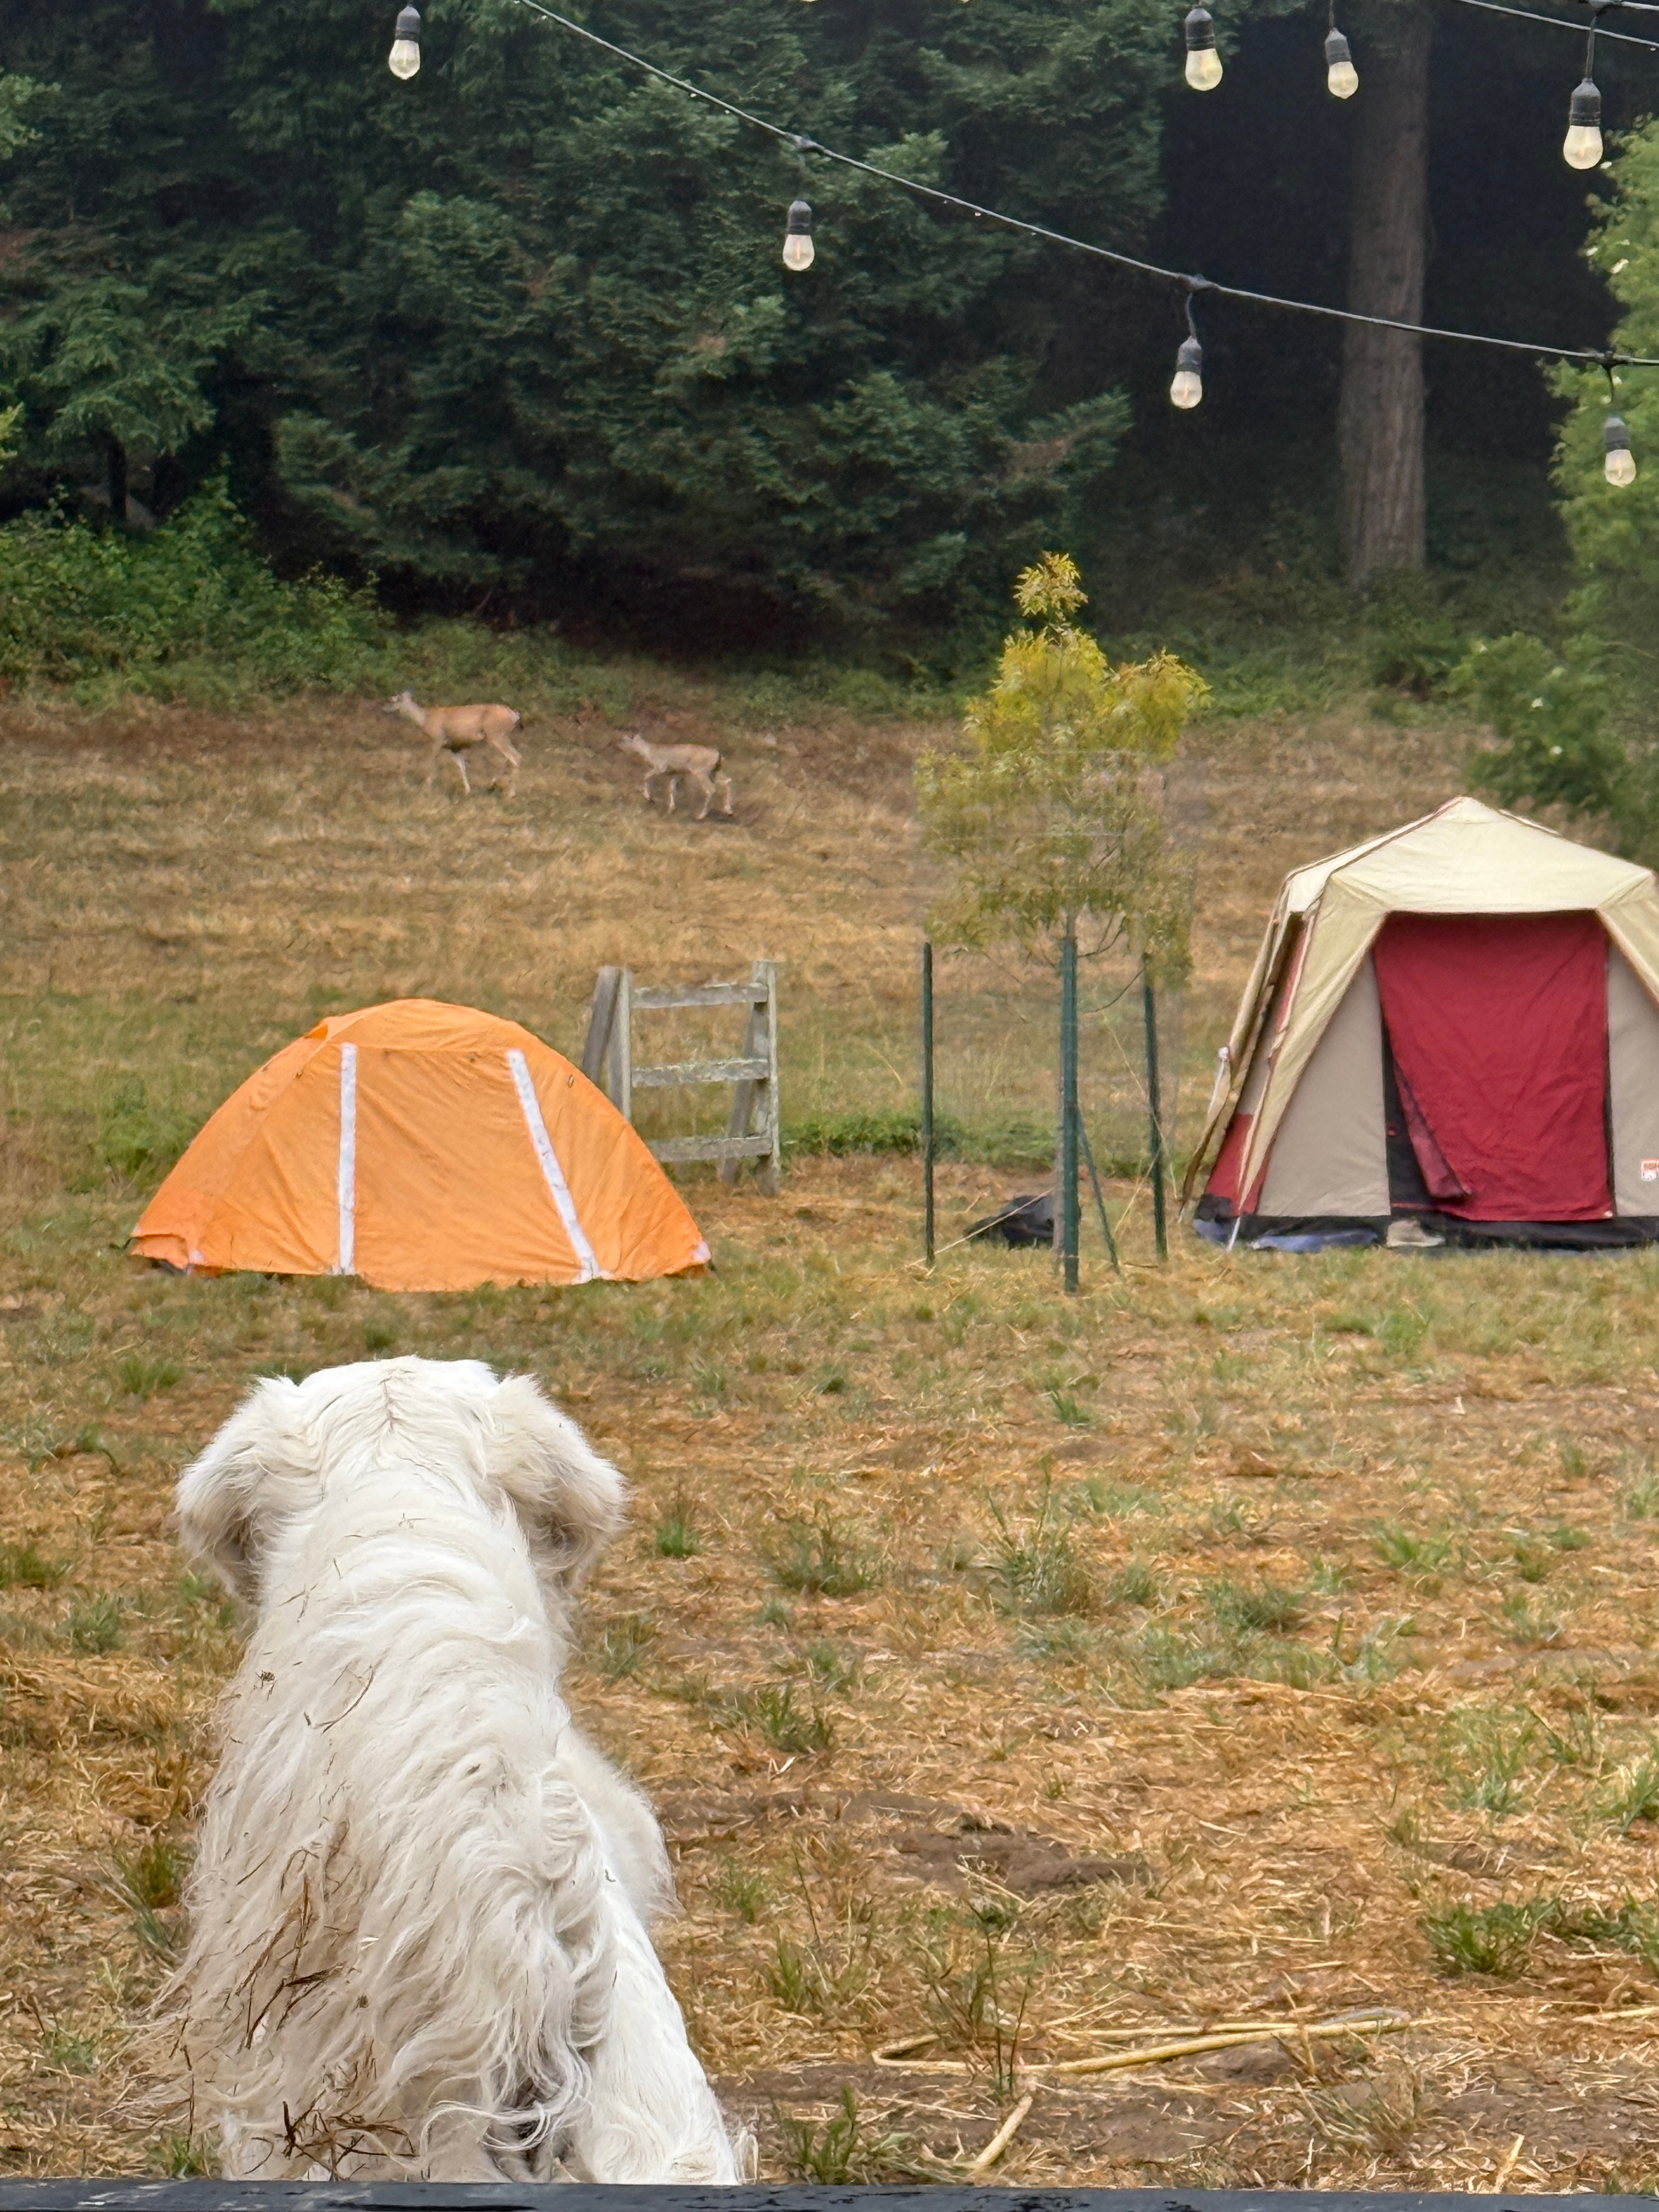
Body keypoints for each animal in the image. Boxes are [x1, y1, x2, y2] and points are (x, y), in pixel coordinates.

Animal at [386, 692, 523, 796]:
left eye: (396, 699)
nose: (387, 707)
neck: (425, 720)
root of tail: (515, 715)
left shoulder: (438, 739)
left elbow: (432, 761)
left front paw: (426, 786)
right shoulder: (455, 747)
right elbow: (462, 767)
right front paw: (468, 791)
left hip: (496, 735)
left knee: (515, 757)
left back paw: (510, 793)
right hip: (502, 737)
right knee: (511, 758)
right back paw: (492, 785)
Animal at [617, 732, 733, 822]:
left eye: (624, 739)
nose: (618, 747)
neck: (649, 753)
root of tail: (719, 756)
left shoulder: (660, 767)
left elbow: (645, 776)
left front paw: (648, 797)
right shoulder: (675, 773)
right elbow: (672, 789)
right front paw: (671, 809)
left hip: (701, 771)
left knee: (711, 789)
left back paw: (700, 815)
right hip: (715, 771)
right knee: (727, 781)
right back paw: (728, 811)